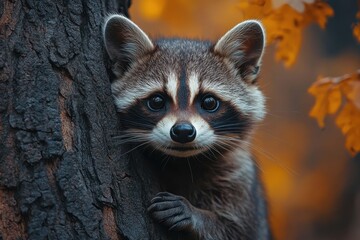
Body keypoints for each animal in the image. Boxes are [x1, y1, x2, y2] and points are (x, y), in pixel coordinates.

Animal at [102, 14, 272, 240]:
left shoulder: (239, 179)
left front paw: (195, 215)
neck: (184, 162)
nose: (183, 132)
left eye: (209, 102)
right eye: (157, 101)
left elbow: (239, 231)